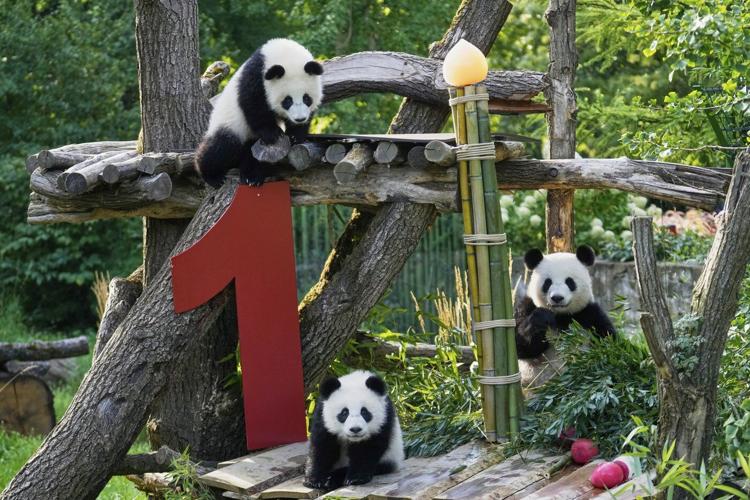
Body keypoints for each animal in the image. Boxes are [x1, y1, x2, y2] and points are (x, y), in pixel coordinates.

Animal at [195, 38, 324, 188]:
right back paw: (212, 175)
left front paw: (295, 135)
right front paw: (273, 133)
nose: (299, 119)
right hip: (231, 123)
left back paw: (252, 177)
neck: (284, 53)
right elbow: (253, 105)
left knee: (254, 157)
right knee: (221, 147)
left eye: (307, 98)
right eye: (287, 100)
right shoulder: (256, 77)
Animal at [514, 245, 616, 388]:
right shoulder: (527, 306)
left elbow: (608, 341)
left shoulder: (588, 313)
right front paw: (541, 318)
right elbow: (521, 346)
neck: (561, 315)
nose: (557, 298)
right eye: (547, 283)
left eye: (569, 282)